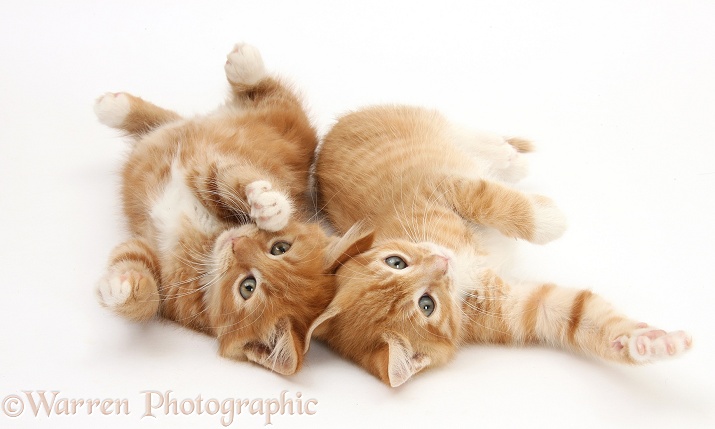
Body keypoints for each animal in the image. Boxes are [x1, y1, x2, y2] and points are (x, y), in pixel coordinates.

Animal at [94, 41, 372, 372]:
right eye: (280, 247)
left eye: (247, 287)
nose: (237, 243)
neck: (209, 243)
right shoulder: (211, 170)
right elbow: (229, 180)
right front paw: (270, 204)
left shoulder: (165, 275)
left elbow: (142, 285)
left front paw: (123, 291)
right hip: (281, 124)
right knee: (264, 94)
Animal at [310, 105, 692, 386]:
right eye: (426, 305)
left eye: (396, 261)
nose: (441, 262)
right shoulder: (518, 309)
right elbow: (576, 314)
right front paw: (649, 344)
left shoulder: (445, 187)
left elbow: (490, 199)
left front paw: (549, 219)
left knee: (466, 134)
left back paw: (507, 154)